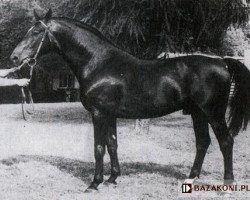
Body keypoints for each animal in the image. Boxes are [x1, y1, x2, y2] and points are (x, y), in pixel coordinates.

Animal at [10, 9, 250, 191]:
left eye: (37, 31)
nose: (14, 57)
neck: (99, 63)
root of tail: (222, 62)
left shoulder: (98, 113)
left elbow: (99, 147)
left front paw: (94, 183)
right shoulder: (110, 114)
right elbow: (112, 144)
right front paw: (112, 178)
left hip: (213, 113)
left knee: (225, 142)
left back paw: (227, 184)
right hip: (198, 113)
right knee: (203, 142)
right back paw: (190, 178)